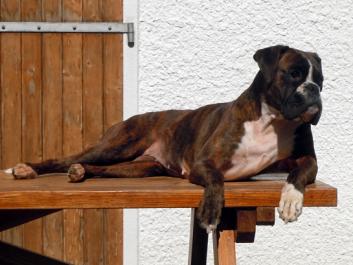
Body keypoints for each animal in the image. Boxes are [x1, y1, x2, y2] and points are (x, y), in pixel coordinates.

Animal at [5, 44, 324, 231]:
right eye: (294, 74)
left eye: (321, 80)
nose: (314, 90)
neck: (273, 120)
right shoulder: (204, 163)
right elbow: (216, 180)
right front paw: (210, 212)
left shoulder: (307, 160)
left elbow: (298, 173)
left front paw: (291, 200)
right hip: (116, 146)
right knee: (64, 158)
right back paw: (26, 169)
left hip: (138, 167)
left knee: (98, 169)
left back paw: (81, 173)